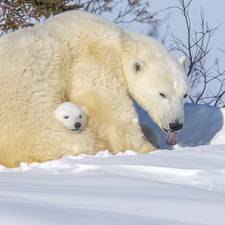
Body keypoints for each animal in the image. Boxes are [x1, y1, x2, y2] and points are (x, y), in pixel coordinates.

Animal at [0, 11, 190, 169]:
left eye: (184, 95)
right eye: (162, 94)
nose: (176, 124)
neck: (118, 41)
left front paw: (151, 137)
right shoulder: (92, 58)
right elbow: (111, 109)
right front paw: (147, 148)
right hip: (24, 115)